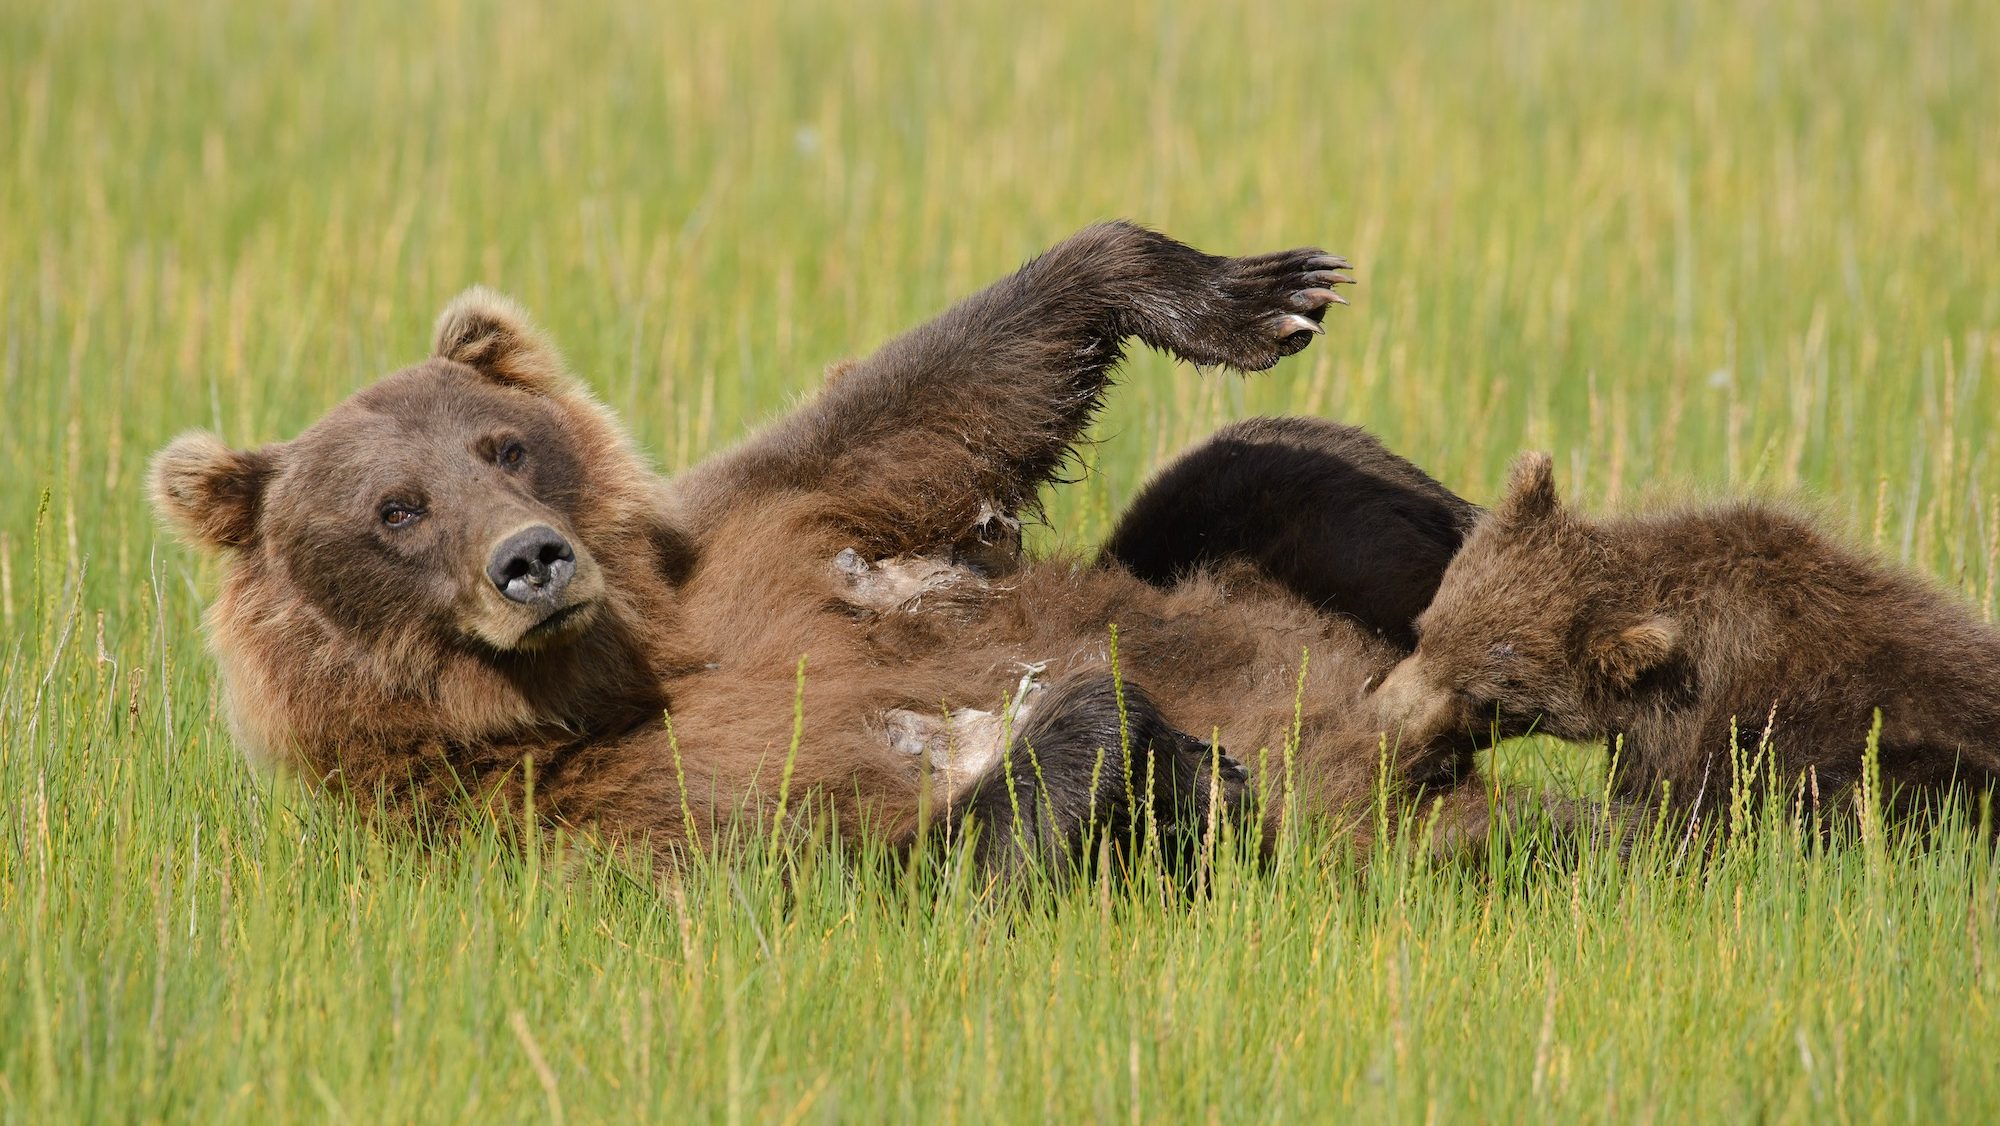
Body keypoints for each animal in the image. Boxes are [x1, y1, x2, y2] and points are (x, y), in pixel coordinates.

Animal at [156, 223, 1496, 880]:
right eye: (394, 509)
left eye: (504, 445)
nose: (532, 559)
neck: (608, 678)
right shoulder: (591, 814)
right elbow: (900, 873)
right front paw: (1166, 753)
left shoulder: (759, 546)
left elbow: (933, 413)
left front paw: (1258, 289)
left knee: (1270, 469)